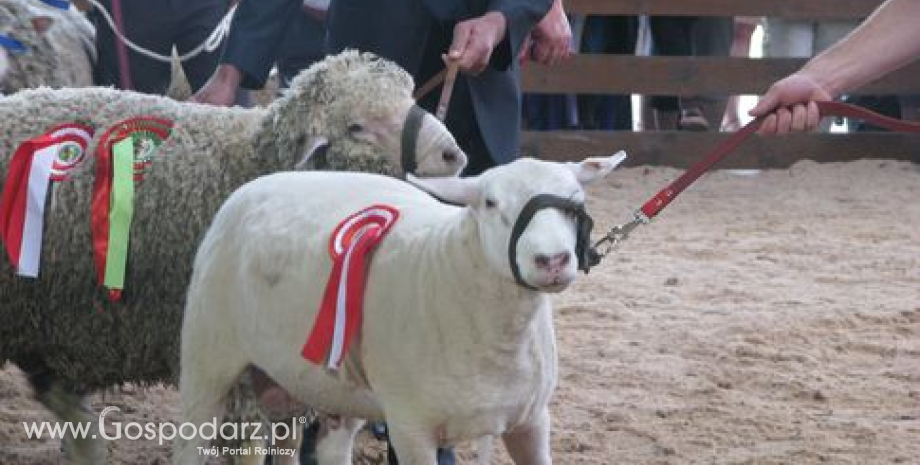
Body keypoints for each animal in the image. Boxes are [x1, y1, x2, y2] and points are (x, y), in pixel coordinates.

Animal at [177, 153, 628, 464]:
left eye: (576, 201)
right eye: (489, 203)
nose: (552, 260)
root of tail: (256, 185)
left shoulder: (532, 422)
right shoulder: (411, 427)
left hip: (311, 380)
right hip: (207, 353)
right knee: (191, 437)